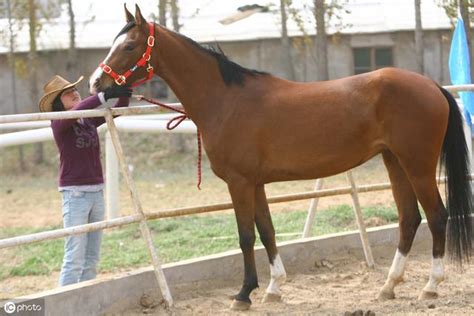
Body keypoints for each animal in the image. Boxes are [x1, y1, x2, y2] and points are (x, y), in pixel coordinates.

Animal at [88, 4, 470, 312]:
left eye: (129, 45)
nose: (95, 84)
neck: (226, 101)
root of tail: (431, 86)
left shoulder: (239, 183)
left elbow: (245, 236)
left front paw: (243, 294)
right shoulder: (255, 183)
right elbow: (267, 231)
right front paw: (273, 288)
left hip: (417, 165)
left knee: (437, 216)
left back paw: (430, 287)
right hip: (395, 162)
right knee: (409, 218)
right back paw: (389, 286)